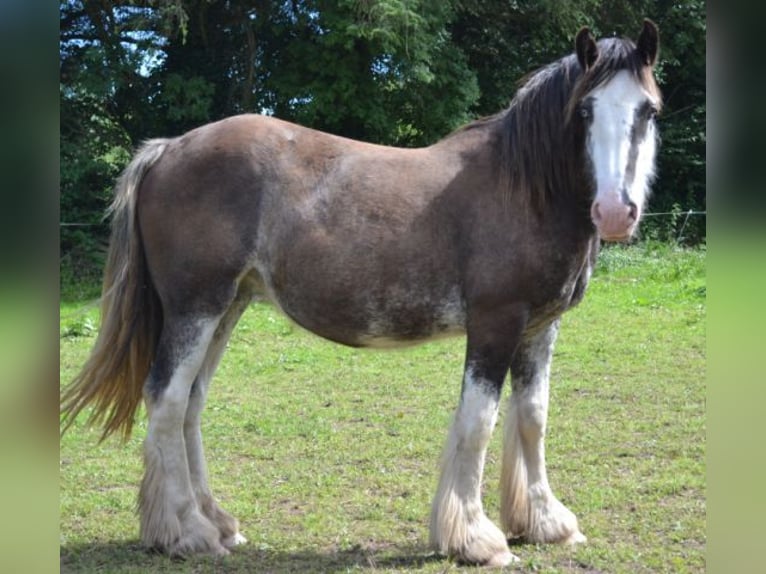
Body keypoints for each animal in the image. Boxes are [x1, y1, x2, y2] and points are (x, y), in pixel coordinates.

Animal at [60, 21, 664, 568]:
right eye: (584, 111)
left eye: (648, 111)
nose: (616, 212)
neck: (524, 190)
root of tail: (167, 150)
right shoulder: (495, 323)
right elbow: (479, 424)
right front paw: (475, 539)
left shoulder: (539, 327)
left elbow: (532, 416)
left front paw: (545, 522)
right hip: (196, 307)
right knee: (165, 399)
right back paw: (187, 532)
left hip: (227, 307)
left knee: (190, 402)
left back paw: (215, 522)